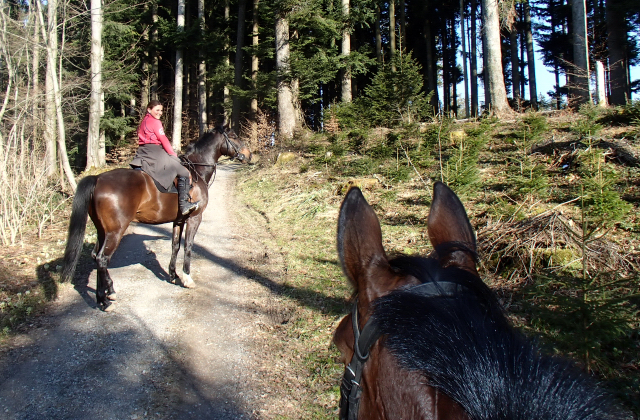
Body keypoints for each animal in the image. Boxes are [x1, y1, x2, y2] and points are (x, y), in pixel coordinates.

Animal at [62, 126, 251, 310]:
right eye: (234, 136)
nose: (248, 154)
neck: (196, 170)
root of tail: (98, 178)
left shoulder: (179, 220)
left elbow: (175, 246)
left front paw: (173, 275)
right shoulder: (194, 218)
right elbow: (188, 246)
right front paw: (187, 278)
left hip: (102, 231)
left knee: (95, 256)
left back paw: (105, 294)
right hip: (115, 232)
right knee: (102, 259)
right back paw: (106, 298)